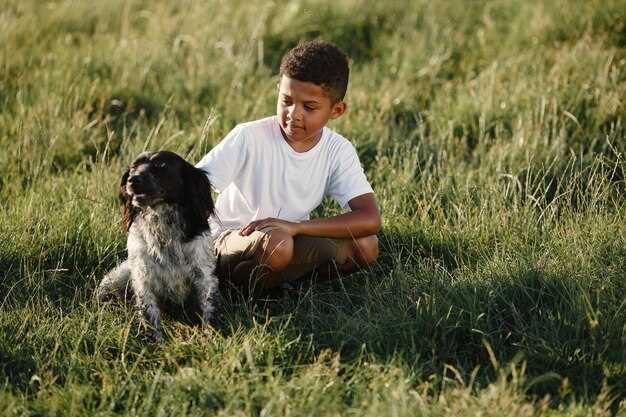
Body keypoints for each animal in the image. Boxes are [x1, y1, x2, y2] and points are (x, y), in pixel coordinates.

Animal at [97, 151, 219, 340]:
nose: (132, 179)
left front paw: (208, 336)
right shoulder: (143, 277)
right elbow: (149, 313)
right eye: (133, 167)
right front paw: (156, 341)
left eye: (161, 165)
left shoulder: (203, 275)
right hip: (112, 282)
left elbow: (206, 307)